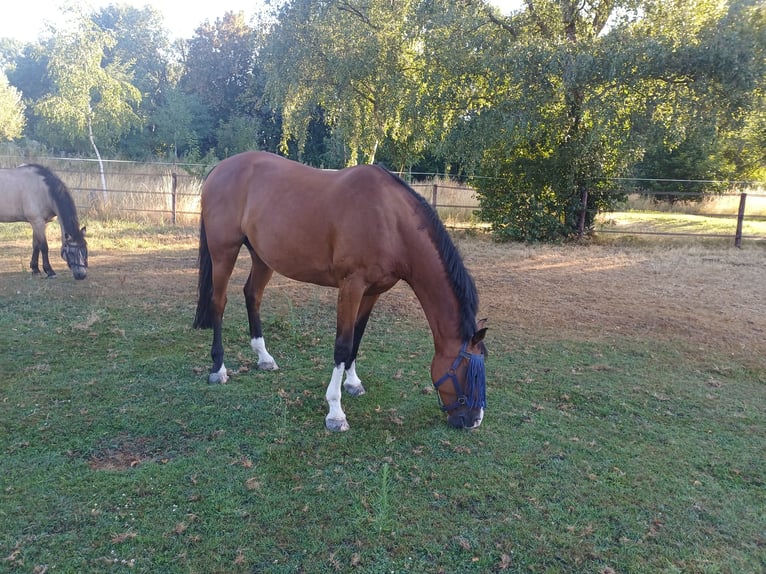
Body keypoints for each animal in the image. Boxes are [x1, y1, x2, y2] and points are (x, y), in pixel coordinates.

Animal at [194, 151, 487, 431]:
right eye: (468, 372)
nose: (473, 421)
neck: (390, 221)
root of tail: (220, 169)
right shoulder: (351, 286)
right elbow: (343, 345)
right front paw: (335, 411)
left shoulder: (373, 291)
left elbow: (357, 337)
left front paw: (353, 383)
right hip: (224, 251)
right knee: (218, 302)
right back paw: (218, 369)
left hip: (262, 257)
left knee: (252, 295)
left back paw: (264, 358)